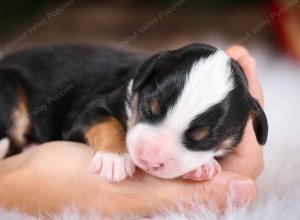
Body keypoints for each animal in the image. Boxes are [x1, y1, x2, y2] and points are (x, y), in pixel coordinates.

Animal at [0, 43, 268, 182]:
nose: (149, 160)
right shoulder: (85, 110)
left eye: (203, 139)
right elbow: (107, 123)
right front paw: (114, 159)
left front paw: (203, 166)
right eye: (149, 106)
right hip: (11, 88)